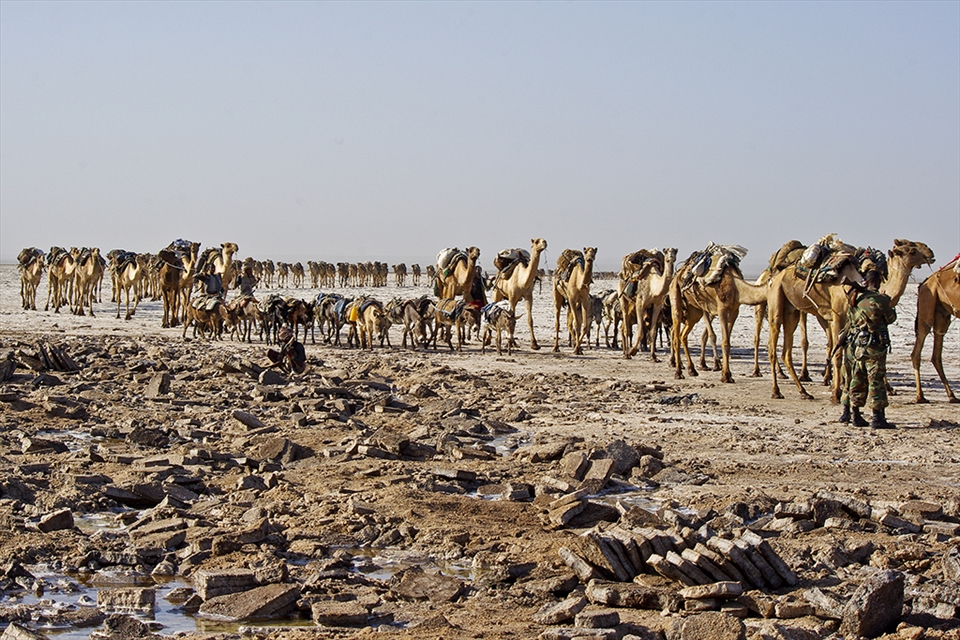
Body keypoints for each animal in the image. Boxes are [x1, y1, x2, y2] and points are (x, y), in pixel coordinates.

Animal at [670, 249, 769, 383]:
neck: (737, 287)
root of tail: (679, 272)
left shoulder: (734, 311)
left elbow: (727, 342)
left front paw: (727, 374)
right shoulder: (721, 308)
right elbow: (725, 342)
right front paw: (725, 375)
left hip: (694, 309)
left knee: (683, 335)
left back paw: (692, 370)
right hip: (675, 293)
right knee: (676, 333)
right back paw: (678, 372)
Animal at [767, 238, 935, 400]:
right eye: (911, 250)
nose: (930, 252)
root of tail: (776, 276)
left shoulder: (852, 320)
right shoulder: (838, 315)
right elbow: (839, 354)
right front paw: (836, 392)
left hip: (792, 310)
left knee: (787, 352)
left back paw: (804, 391)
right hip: (777, 299)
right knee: (772, 347)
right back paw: (776, 391)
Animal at [911, 256, 959, 403]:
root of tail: (925, 282)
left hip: (942, 314)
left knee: (936, 354)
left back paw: (952, 395)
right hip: (928, 305)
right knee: (917, 350)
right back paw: (920, 396)